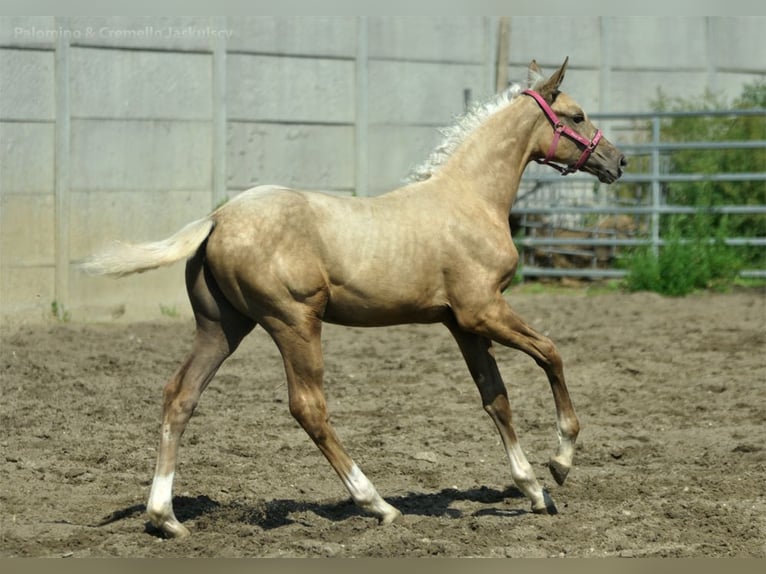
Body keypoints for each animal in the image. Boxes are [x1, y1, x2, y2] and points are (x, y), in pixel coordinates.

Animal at [82, 59, 624, 540]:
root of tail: (217, 218)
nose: (618, 161)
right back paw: (377, 504)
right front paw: (560, 463)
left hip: (222, 327)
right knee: (308, 408)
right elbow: (551, 353)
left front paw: (534, 490)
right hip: (295, 322)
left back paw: (166, 519)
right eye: (577, 116)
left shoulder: (461, 324)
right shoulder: (484, 312)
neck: (469, 199)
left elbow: (496, 399)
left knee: (180, 396)